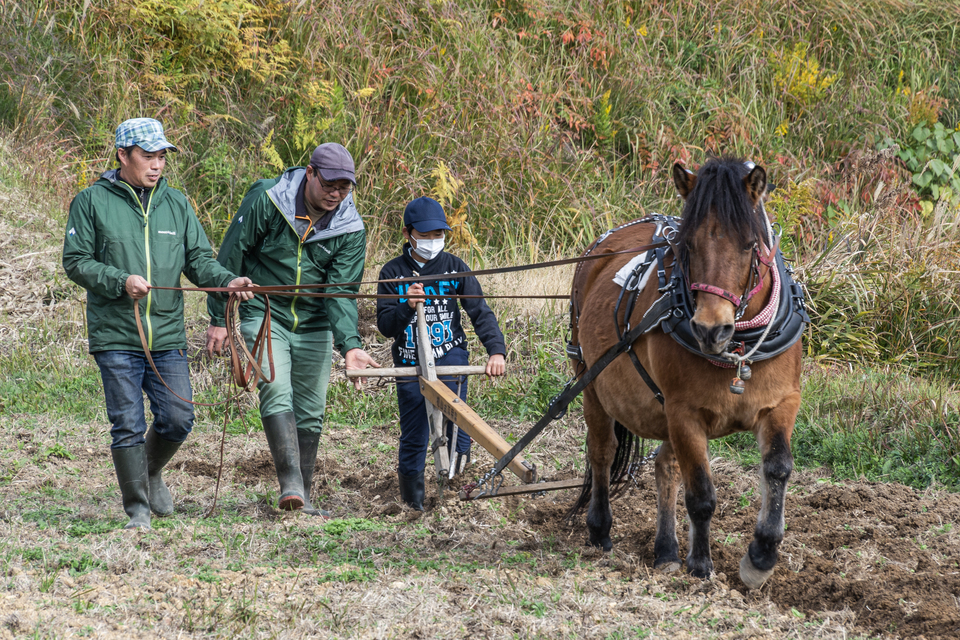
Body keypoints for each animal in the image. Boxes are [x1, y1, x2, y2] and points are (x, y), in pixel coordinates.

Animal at [567, 156, 805, 589]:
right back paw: (600, 530)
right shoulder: (684, 413)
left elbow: (778, 468)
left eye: (751, 245)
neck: (738, 350)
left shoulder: (781, 403)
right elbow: (701, 495)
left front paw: (760, 557)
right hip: (591, 383)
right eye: (687, 246)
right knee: (602, 451)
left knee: (665, 466)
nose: (711, 329)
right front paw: (701, 565)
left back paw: (665, 551)